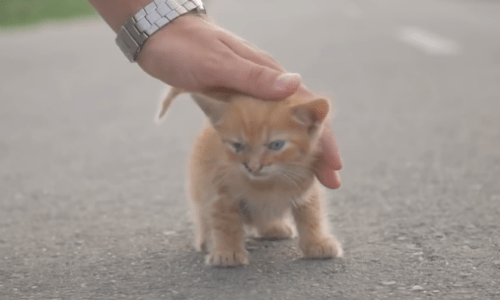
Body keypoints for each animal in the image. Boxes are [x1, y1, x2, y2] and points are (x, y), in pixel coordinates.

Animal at [158, 87, 342, 268]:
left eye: (276, 145)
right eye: (237, 146)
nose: (253, 166)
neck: (266, 185)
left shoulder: (306, 185)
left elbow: (311, 214)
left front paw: (317, 242)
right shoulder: (220, 188)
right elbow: (225, 221)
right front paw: (227, 252)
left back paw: (272, 227)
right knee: (203, 214)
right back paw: (205, 240)